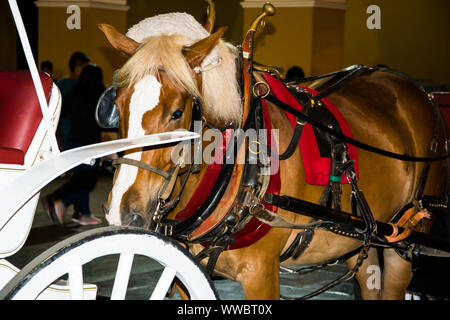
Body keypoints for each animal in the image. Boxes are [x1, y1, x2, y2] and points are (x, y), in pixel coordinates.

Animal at [98, 13, 446, 300]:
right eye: (117, 104)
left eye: (177, 113)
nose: (121, 213)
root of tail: (419, 90)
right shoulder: (186, 272)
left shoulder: (261, 273)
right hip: (362, 237)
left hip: (405, 239)